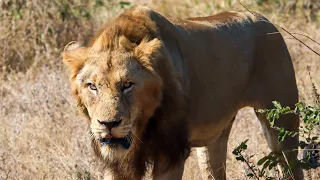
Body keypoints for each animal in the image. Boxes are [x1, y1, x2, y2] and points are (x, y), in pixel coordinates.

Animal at [62, 5, 302, 180]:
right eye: (92, 86)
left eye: (128, 85)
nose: (108, 124)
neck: (141, 125)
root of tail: (263, 19)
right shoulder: (117, 164)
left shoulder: (171, 154)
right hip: (213, 138)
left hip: (282, 121)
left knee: (291, 165)